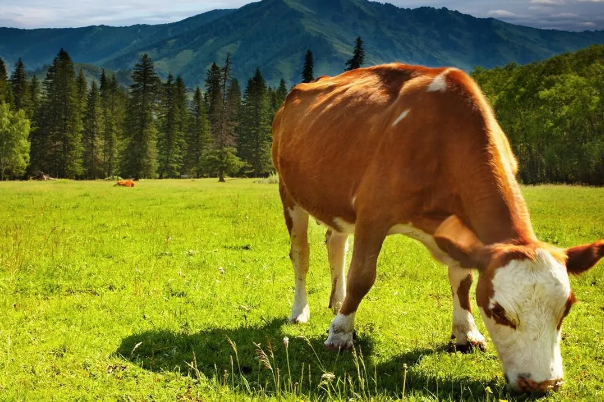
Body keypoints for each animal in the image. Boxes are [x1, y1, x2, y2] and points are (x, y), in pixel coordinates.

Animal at [272, 64, 604, 394]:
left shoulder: (465, 234)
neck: (443, 143)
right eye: (498, 311)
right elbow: (362, 277)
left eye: (567, 307)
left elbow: (463, 281)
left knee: (336, 243)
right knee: (301, 254)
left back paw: (337, 301)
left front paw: (467, 333)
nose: (542, 383)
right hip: (289, 193)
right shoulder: (372, 213)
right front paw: (340, 334)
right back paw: (300, 311)